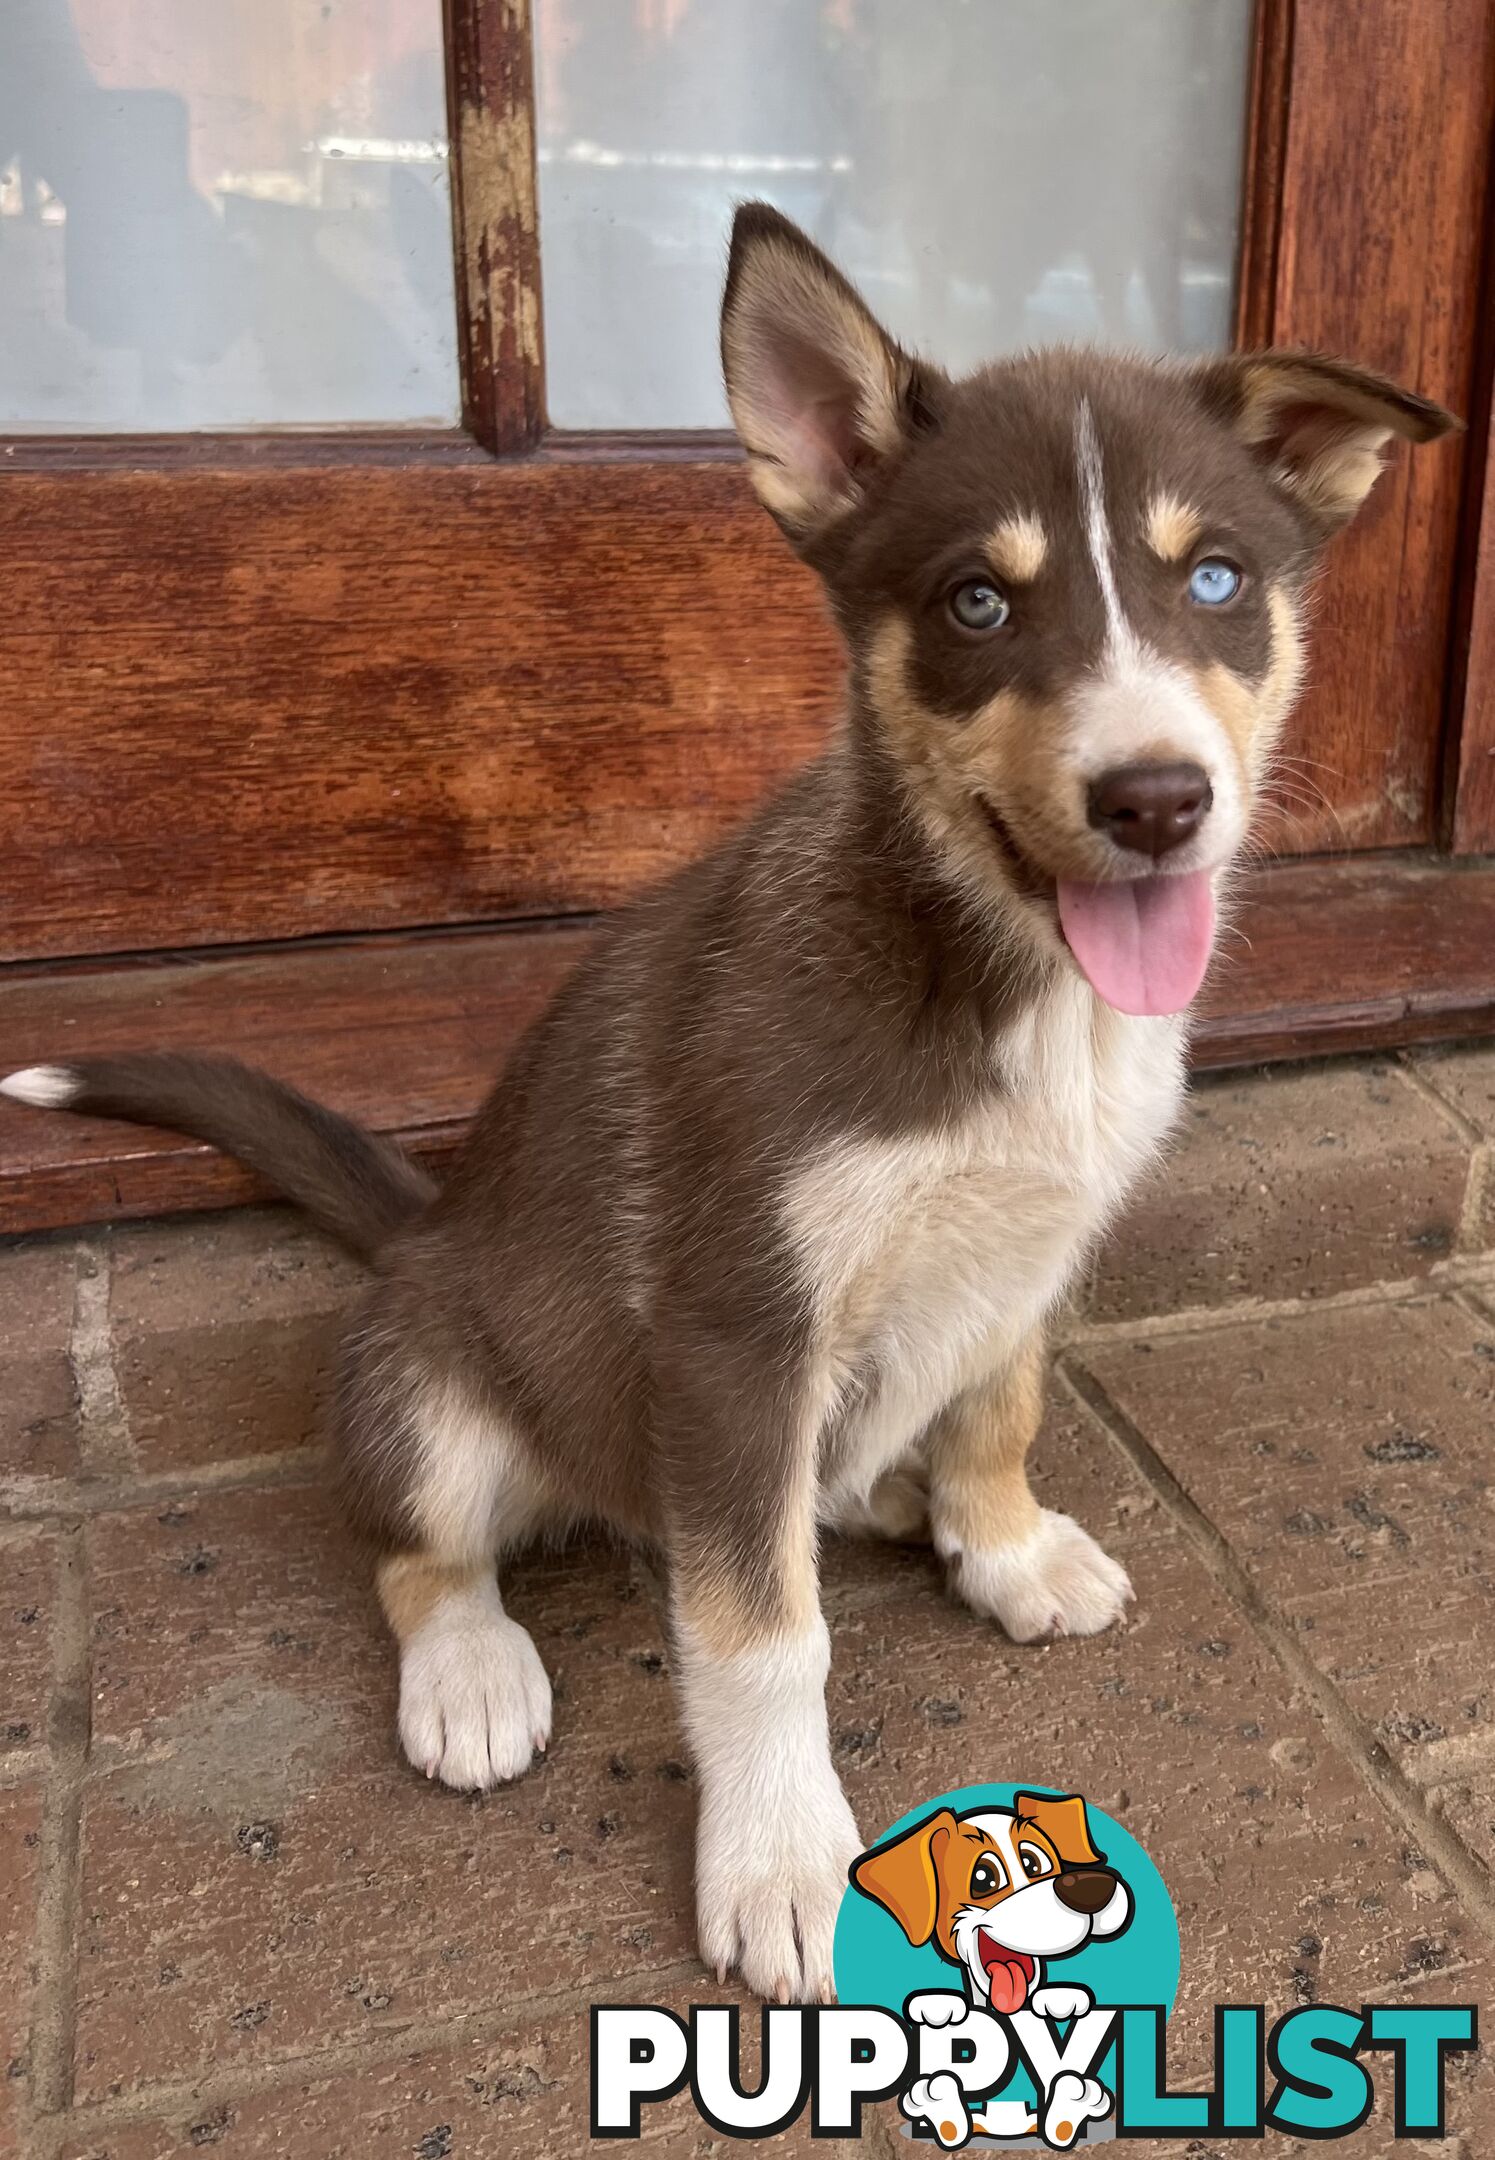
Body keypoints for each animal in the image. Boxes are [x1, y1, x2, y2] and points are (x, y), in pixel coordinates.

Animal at [2, 206, 1460, 2004]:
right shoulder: (733, 1331)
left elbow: (998, 1407)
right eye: (976, 601)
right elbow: (763, 1632)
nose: (1156, 801)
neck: (991, 976)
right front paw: (784, 1858)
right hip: (427, 1386)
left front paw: (1003, 1544)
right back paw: (473, 1670)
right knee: (424, 1544)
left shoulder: (1027, 1256)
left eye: (1216, 582)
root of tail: (418, 1228)